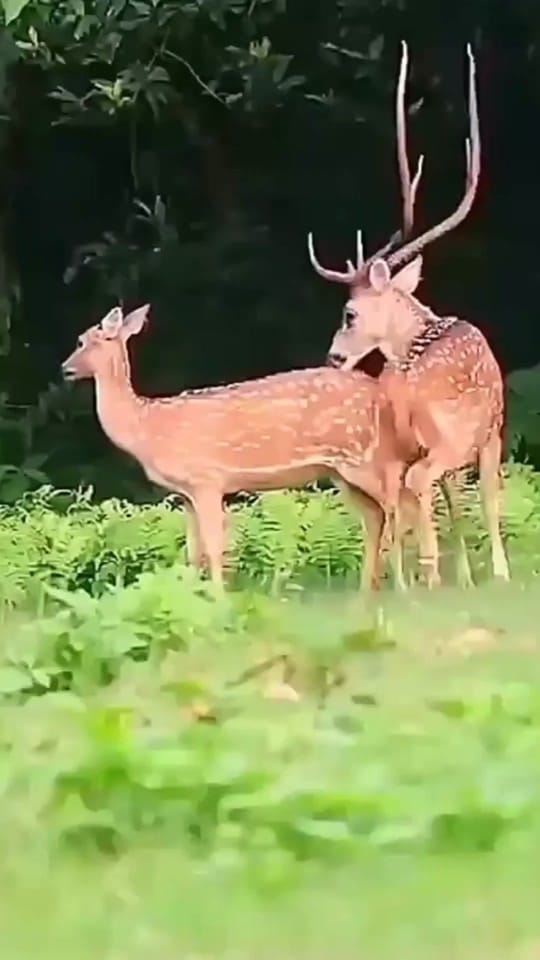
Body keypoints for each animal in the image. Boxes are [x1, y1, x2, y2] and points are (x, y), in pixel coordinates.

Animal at [61, 303, 426, 591]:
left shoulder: (207, 480)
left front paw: (219, 600)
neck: (147, 428)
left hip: (369, 457)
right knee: (377, 516)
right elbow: (193, 553)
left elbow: (215, 547)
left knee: (401, 506)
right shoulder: (186, 493)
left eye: (82, 340)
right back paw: (367, 594)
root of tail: (380, 394)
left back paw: (406, 588)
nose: (65, 368)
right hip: (341, 470)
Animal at [307, 41, 510, 588]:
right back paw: (428, 574)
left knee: (393, 498)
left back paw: (402, 580)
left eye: (349, 314)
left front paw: (468, 574)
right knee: (418, 487)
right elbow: (487, 499)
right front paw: (498, 573)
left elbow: (457, 503)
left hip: (391, 450)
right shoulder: (489, 430)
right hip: (447, 439)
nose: (334, 357)